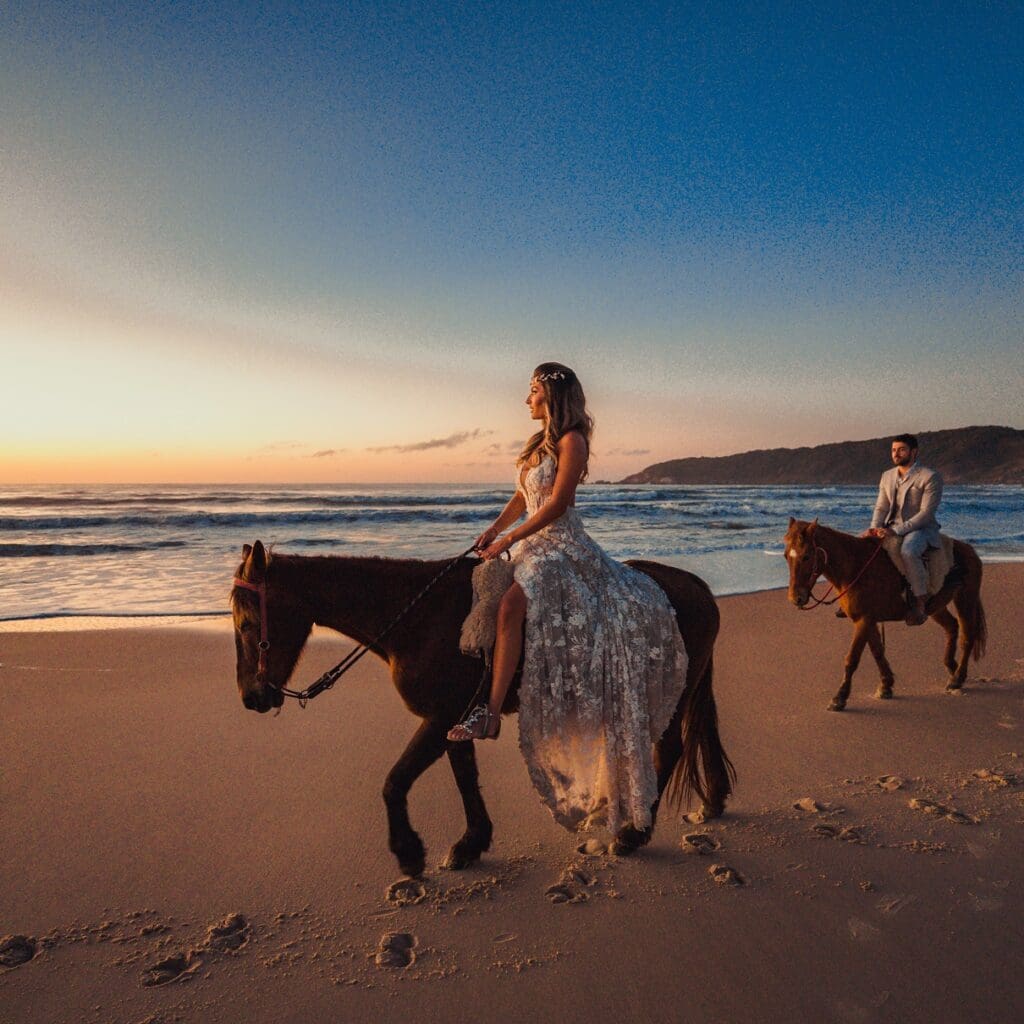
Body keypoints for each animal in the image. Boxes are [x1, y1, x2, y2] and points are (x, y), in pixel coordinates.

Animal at [230, 540, 737, 876]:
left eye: (248, 622)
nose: (252, 698)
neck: (420, 619)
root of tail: (696, 587)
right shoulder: (457, 719)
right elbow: (464, 777)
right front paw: (471, 842)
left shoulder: (439, 718)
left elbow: (395, 781)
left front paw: (409, 852)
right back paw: (704, 803)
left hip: (669, 693)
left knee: (668, 748)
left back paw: (633, 834)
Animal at [782, 520, 983, 712]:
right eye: (786, 556)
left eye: (807, 556)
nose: (796, 598)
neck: (854, 567)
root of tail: (970, 550)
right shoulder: (867, 620)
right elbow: (877, 651)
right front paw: (886, 685)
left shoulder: (863, 620)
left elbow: (852, 659)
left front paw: (839, 698)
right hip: (935, 606)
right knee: (952, 626)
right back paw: (952, 667)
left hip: (965, 597)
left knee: (967, 636)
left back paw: (957, 678)